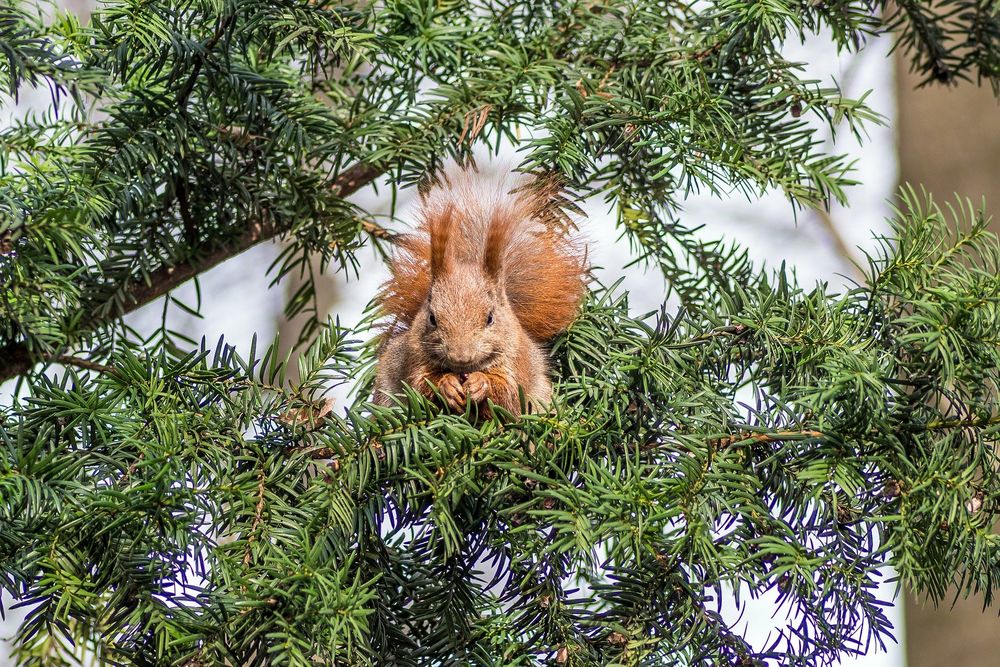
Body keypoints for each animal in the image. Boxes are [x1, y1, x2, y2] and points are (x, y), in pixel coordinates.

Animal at [372, 168, 587, 416]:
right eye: (432, 318)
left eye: (490, 318)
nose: (461, 356)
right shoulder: (413, 358)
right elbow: (419, 387)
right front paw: (447, 385)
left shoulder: (516, 363)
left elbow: (511, 397)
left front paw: (480, 384)